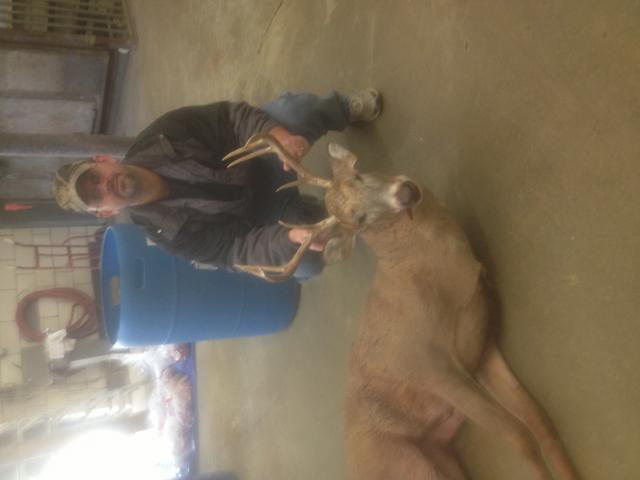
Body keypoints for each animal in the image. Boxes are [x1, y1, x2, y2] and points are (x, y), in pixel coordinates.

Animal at [223, 134, 579, 480]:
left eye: (359, 175)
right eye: (359, 220)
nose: (406, 192)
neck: (439, 282)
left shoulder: (482, 343)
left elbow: (540, 421)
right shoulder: (429, 367)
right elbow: (517, 435)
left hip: (442, 452)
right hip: (411, 466)